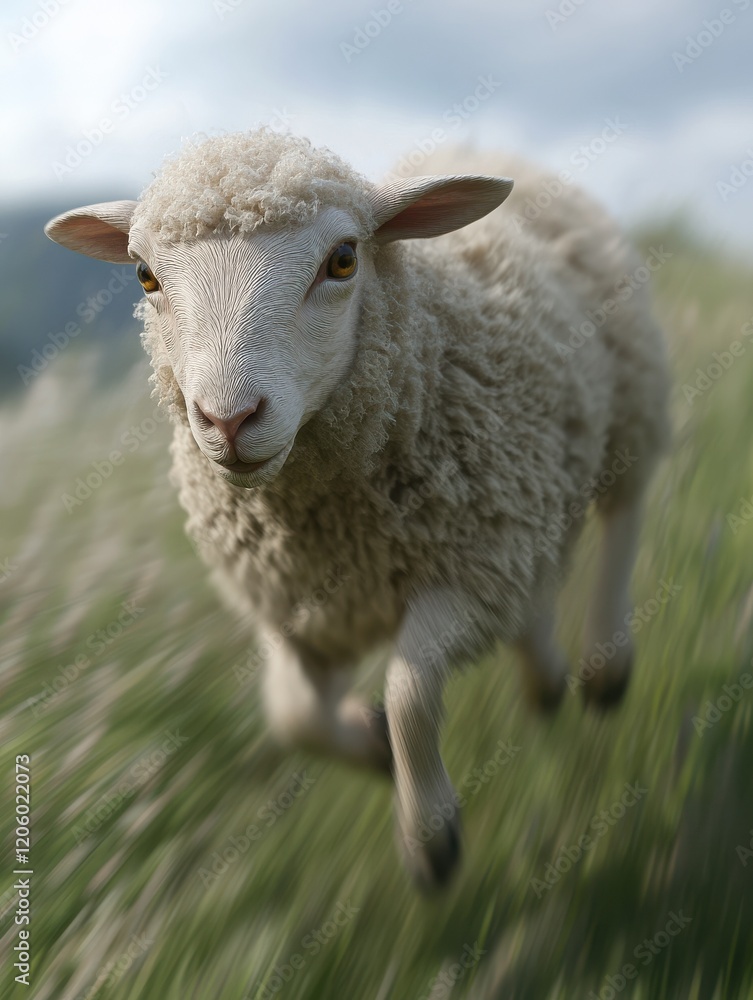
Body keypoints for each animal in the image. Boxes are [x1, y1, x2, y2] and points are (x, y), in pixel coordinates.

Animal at [44, 128, 669, 891]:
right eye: (143, 276)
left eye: (343, 259)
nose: (228, 420)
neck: (337, 528)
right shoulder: (301, 608)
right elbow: (293, 716)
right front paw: (370, 747)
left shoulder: (469, 576)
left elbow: (410, 690)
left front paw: (430, 839)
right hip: (529, 506)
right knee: (539, 583)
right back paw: (545, 679)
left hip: (630, 402)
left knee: (623, 518)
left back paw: (606, 666)